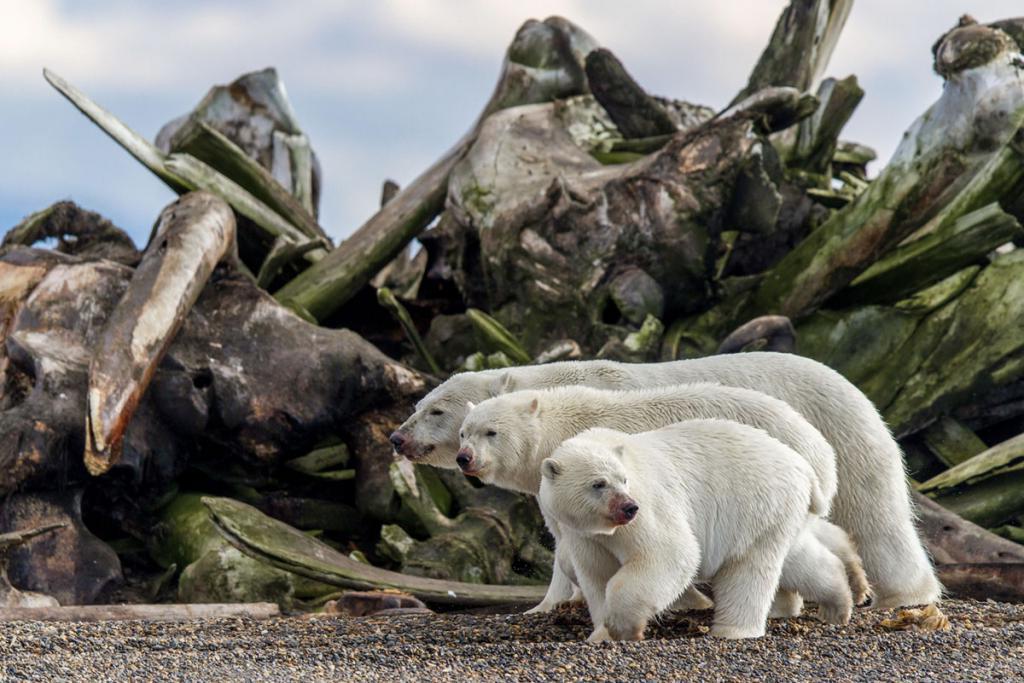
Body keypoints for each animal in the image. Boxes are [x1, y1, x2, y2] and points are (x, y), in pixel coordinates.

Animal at [544, 421, 856, 643]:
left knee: (747, 568)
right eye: (598, 484)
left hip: (754, 503)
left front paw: (624, 627)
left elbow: (671, 553)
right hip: (777, 514)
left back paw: (732, 630)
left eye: (623, 480)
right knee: (795, 558)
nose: (629, 508)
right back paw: (837, 603)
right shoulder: (586, 535)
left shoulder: (649, 507)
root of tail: (802, 465)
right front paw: (601, 634)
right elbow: (597, 576)